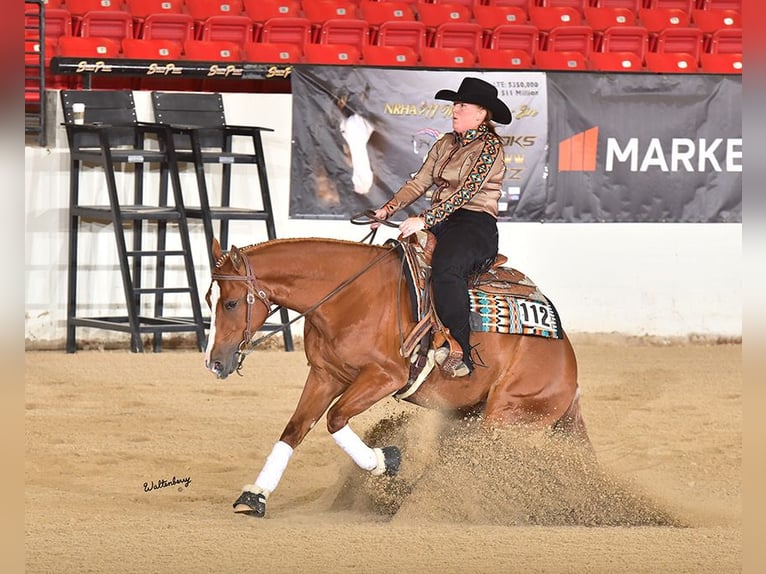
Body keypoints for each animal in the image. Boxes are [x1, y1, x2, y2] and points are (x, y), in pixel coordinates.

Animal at [203, 236, 589, 518]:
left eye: (232, 303)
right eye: (209, 299)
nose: (214, 363)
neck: (349, 297)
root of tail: (568, 365)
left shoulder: (384, 377)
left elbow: (335, 418)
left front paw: (386, 461)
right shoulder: (325, 375)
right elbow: (295, 430)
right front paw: (255, 496)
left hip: (508, 416)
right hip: (468, 415)